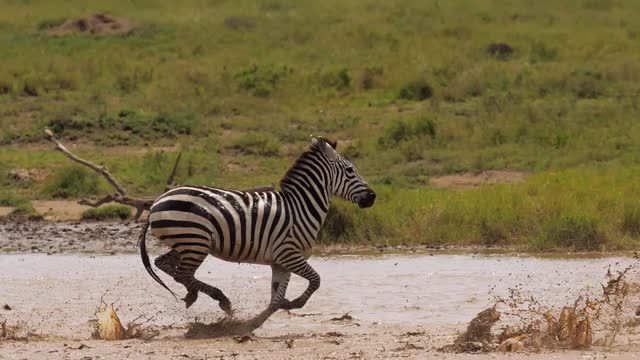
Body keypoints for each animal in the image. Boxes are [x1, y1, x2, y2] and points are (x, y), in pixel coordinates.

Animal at [139, 138, 376, 320]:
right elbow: (316, 280)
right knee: (183, 273)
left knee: (166, 265)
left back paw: (192, 295)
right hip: (196, 241)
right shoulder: (289, 253)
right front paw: (294, 303)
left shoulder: (280, 262)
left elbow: (276, 299)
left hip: (186, 243)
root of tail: (156, 202)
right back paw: (220, 299)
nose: (372, 197)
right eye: (350, 170)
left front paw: (257, 322)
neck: (300, 207)